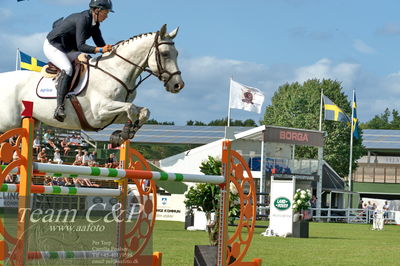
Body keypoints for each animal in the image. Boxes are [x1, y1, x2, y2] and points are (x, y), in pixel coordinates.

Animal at [0, 24, 184, 147]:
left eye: (177, 53)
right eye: (165, 54)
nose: (178, 85)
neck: (116, 70)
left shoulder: (113, 114)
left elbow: (143, 111)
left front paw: (123, 134)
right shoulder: (99, 111)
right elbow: (131, 109)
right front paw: (123, 134)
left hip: (29, 121)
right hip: (8, 123)